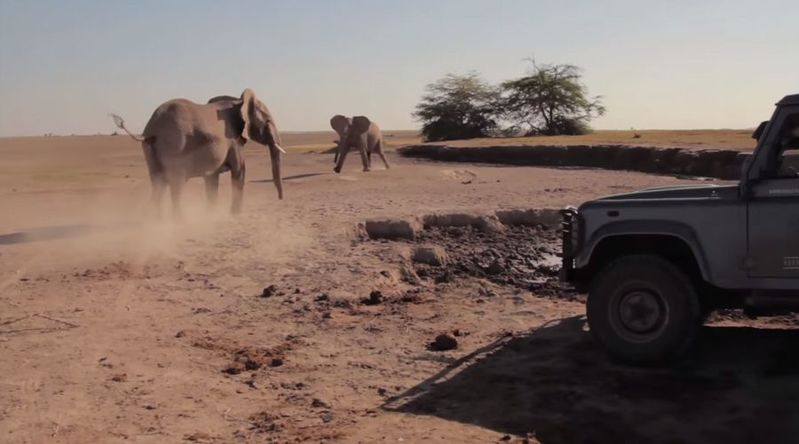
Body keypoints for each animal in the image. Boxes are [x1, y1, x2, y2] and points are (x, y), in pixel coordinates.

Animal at [112, 87, 286, 216]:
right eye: (268, 121)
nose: (280, 198)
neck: (237, 101)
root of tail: (151, 128)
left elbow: (212, 178)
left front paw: (211, 215)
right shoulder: (233, 139)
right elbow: (239, 171)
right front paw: (235, 215)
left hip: (151, 150)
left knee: (158, 185)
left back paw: (156, 222)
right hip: (175, 145)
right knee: (176, 186)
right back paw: (179, 223)